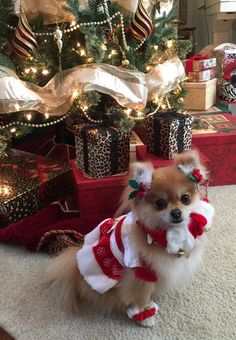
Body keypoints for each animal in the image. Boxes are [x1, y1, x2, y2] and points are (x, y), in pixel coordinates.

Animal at [46, 151, 214, 326]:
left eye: (185, 198)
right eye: (160, 203)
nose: (176, 212)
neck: (163, 234)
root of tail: (75, 269)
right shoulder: (141, 273)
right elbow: (141, 296)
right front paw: (145, 316)